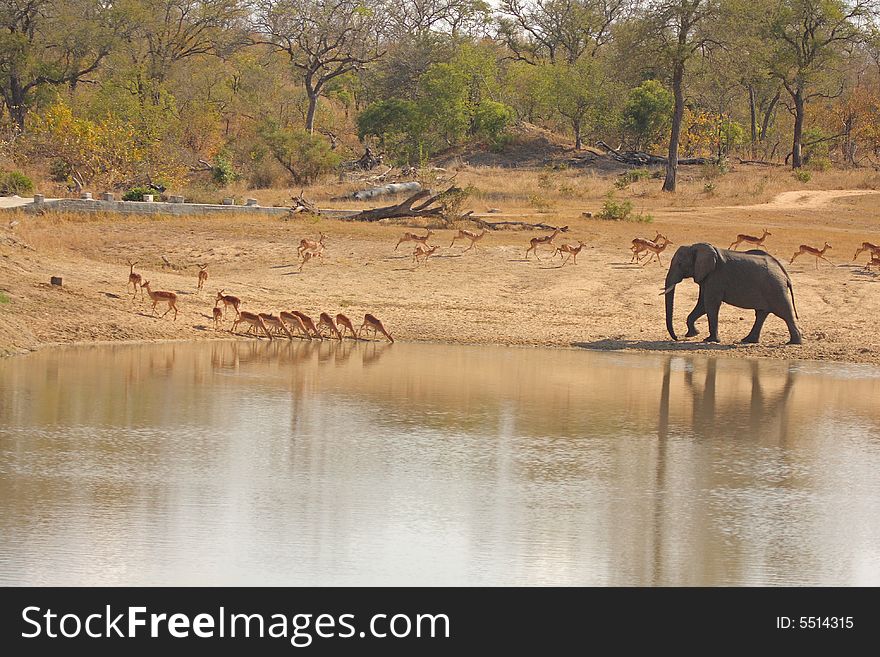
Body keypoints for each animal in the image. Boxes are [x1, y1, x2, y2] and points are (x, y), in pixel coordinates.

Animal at [664, 241, 800, 344]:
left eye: (680, 264)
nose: (677, 338)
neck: (695, 247)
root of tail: (784, 273)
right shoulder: (706, 277)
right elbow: (702, 304)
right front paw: (693, 334)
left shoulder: (716, 276)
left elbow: (710, 304)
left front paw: (710, 340)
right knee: (761, 314)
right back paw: (747, 340)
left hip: (775, 288)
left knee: (784, 312)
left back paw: (793, 342)